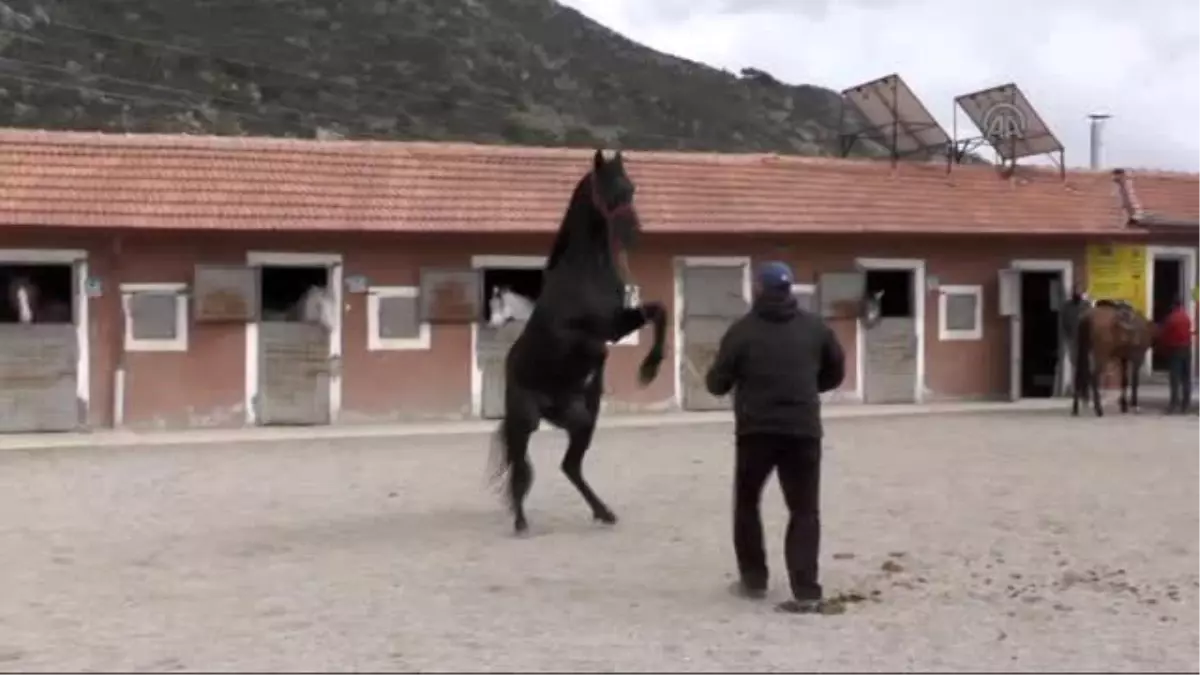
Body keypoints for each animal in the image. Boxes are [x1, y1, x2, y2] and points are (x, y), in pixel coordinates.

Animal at [492, 149, 672, 533]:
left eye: (631, 186)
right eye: (608, 188)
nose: (633, 233)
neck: (586, 270)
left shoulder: (620, 322)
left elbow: (659, 311)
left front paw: (648, 370)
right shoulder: (593, 332)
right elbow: (596, 346)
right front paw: (633, 370)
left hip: (582, 423)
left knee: (569, 466)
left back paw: (604, 512)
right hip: (524, 421)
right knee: (520, 467)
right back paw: (521, 522)